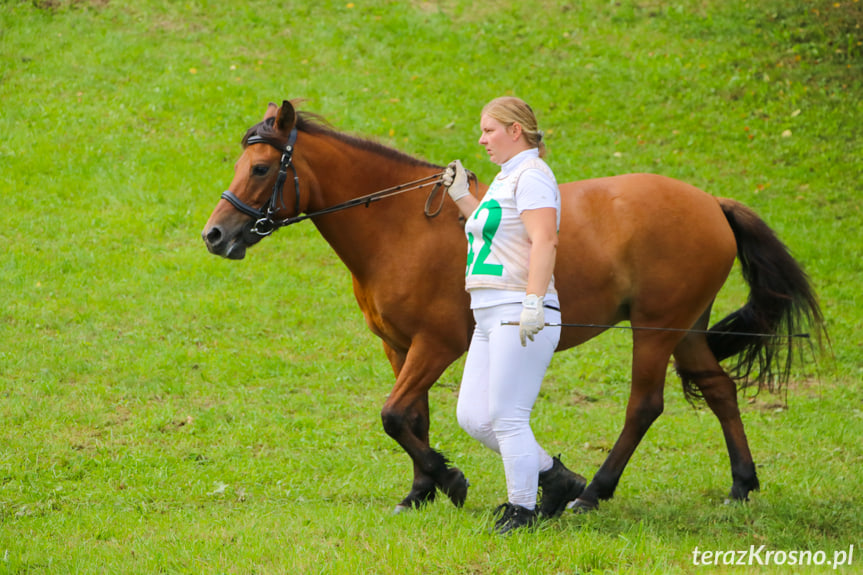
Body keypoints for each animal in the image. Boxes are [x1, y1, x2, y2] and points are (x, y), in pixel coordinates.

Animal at [201, 101, 824, 516]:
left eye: (261, 169)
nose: (214, 235)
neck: (401, 227)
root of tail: (710, 203)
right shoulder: (399, 345)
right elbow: (414, 417)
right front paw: (420, 492)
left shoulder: (437, 344)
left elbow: (394, 415)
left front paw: (450, 481)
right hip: (684, 329)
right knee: (719, 389)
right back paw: (741, 485)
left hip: (652, 330)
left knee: (644, 406)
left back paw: (592, 493)